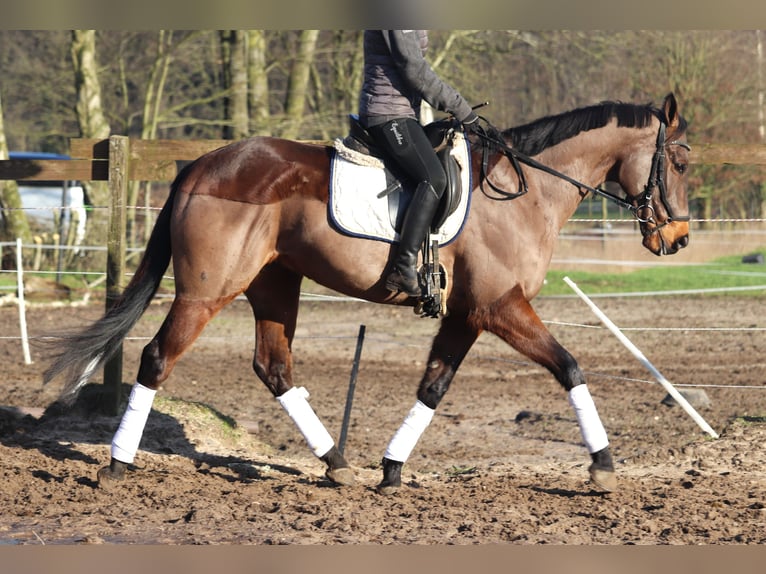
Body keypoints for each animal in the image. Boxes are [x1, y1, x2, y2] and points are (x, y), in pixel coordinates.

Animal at [42, 93, 692, 496]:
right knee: (158, 358)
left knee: (273, 367)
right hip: (207, 293)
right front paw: (603, 466)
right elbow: (570, 366)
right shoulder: (499, 306)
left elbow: (433, 386)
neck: (523, 190)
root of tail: (199, 166)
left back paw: (337, 465)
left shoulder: (466, 315)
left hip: (274, 286)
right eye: (682, 162)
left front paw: (392, 469)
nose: (679, 238)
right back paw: (118, 464)